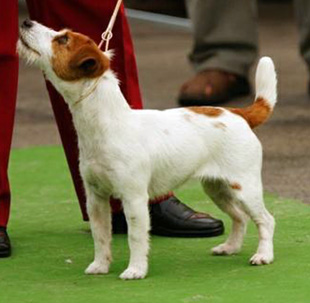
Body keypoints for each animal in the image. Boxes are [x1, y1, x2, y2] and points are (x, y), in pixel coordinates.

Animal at [18, 19, 276, 280]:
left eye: (63, 40)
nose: (26, 22)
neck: (107, 124)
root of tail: (239, 113)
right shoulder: (96, 198)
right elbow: (101, 237)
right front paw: (100, 266)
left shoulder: (134, 198)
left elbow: (136, 237)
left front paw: (136, 270)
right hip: (217, 188)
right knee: (240, 217)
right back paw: (230, 247)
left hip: (244, 187)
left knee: (266, 220)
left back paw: (263, 255)